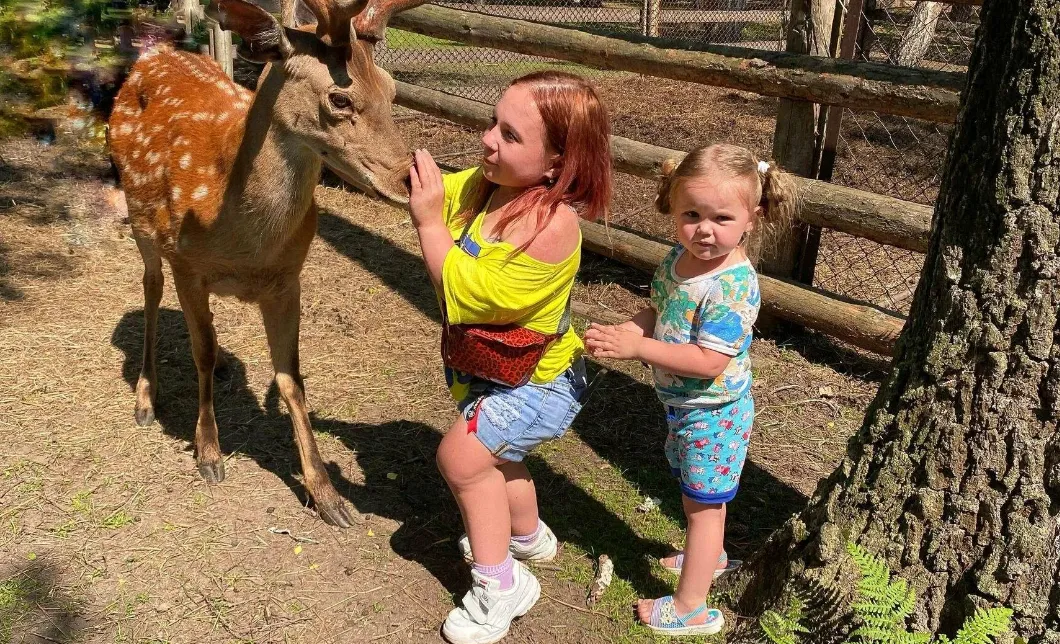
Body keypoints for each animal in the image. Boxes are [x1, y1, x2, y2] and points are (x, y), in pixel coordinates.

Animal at [108, 0, 428, 527]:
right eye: (340, 98)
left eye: (392, 87)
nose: (409, 178)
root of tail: (154, 55)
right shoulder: (187, 265)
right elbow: (199, 352)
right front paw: (209, 453)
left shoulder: (287, 279)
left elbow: (291, 379)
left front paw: (327, 496)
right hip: (140, 220)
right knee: (151, 288)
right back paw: (145, 397)